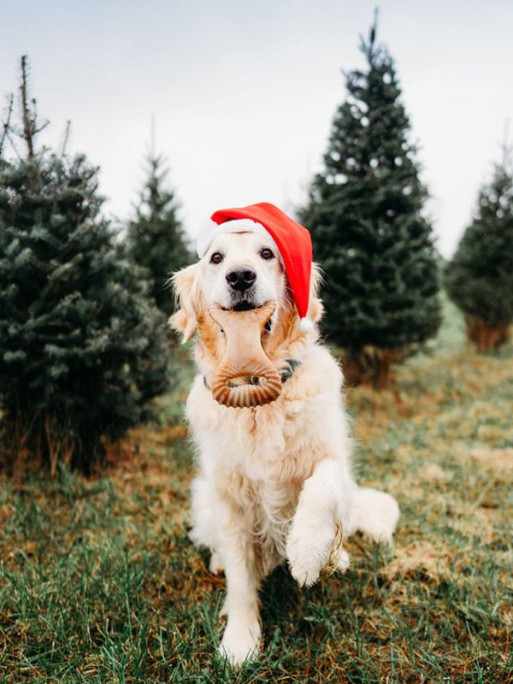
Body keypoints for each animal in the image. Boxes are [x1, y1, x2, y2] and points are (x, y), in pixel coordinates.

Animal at [170, 207, 398, 664]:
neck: (259, 399)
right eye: (216, 258)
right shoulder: (229, 495)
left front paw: (307, 553)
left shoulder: (334, 461)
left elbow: (321, 486)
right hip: (203, 496)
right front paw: (240, 640)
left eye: (266, 253)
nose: (241, 276)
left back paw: (335, 557)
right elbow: (241, 577)